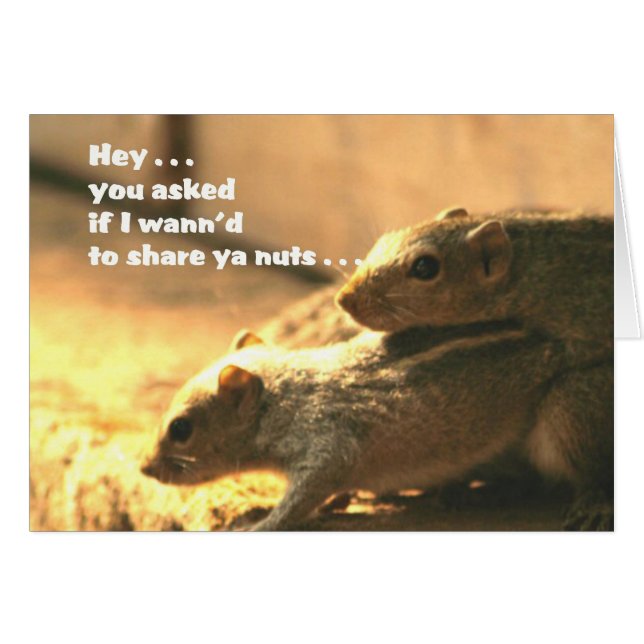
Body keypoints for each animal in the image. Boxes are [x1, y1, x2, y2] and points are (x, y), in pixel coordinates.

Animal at [140, 322, 613, 531]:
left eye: (181, 428)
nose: (145, 467)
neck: (289, 398)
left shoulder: (328, 442)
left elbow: (301, 499)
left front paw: (260, 524)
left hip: (566, 411)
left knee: (585, 475)